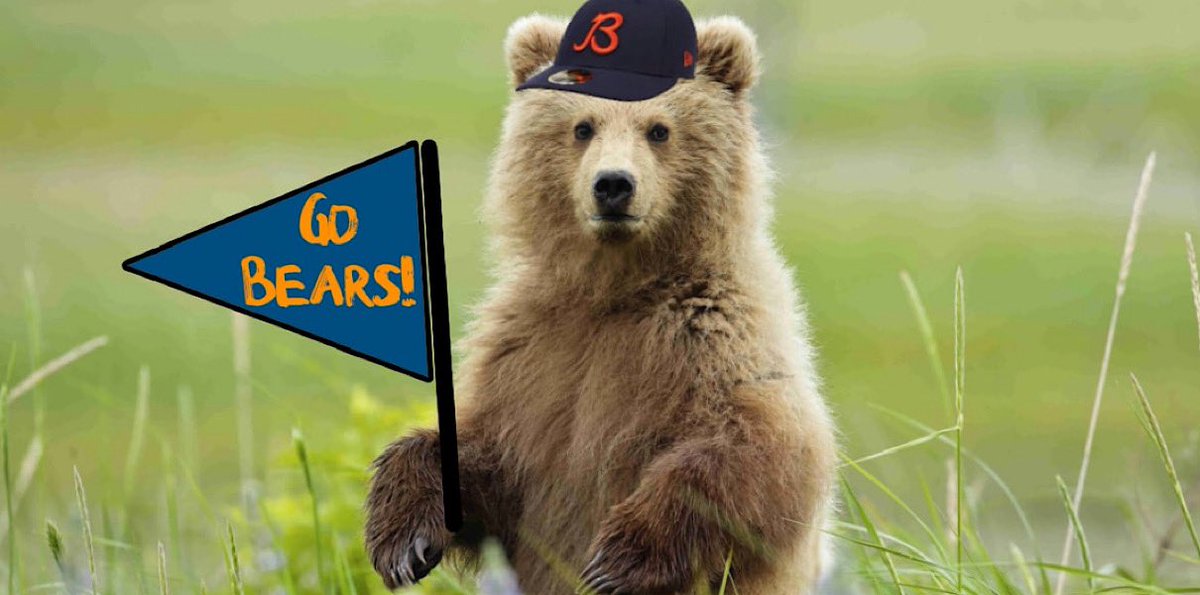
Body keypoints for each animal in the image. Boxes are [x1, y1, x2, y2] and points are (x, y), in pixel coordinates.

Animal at [365, 13, 838, 595]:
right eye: (582, 127)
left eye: (658, 129)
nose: (613, 185)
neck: (614, 287)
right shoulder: (532, 359)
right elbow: (488, 463)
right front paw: (401, 540)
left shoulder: (712, 336)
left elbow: (761, 449)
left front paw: (616, 560)